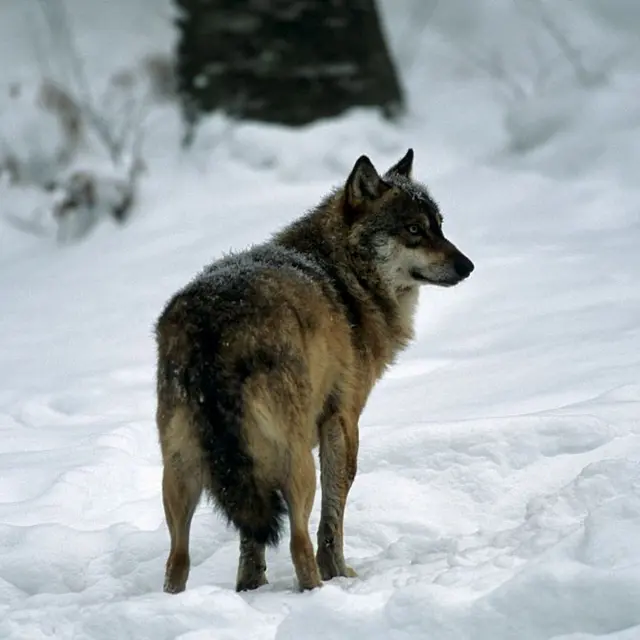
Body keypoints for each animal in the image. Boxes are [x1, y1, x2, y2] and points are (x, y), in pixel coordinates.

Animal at [154, 148, 474, 594]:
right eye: (413, 230)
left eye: (439, 226)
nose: (468, 265)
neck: (345, 276)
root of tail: (212, 323)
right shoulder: (342, 421)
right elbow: (332, 517)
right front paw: (338, 571)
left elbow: (251, 540)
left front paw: (250, 586)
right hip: (295, 463)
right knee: (298, 544)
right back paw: (318, 592)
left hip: (179, 473)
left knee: (176, 561)